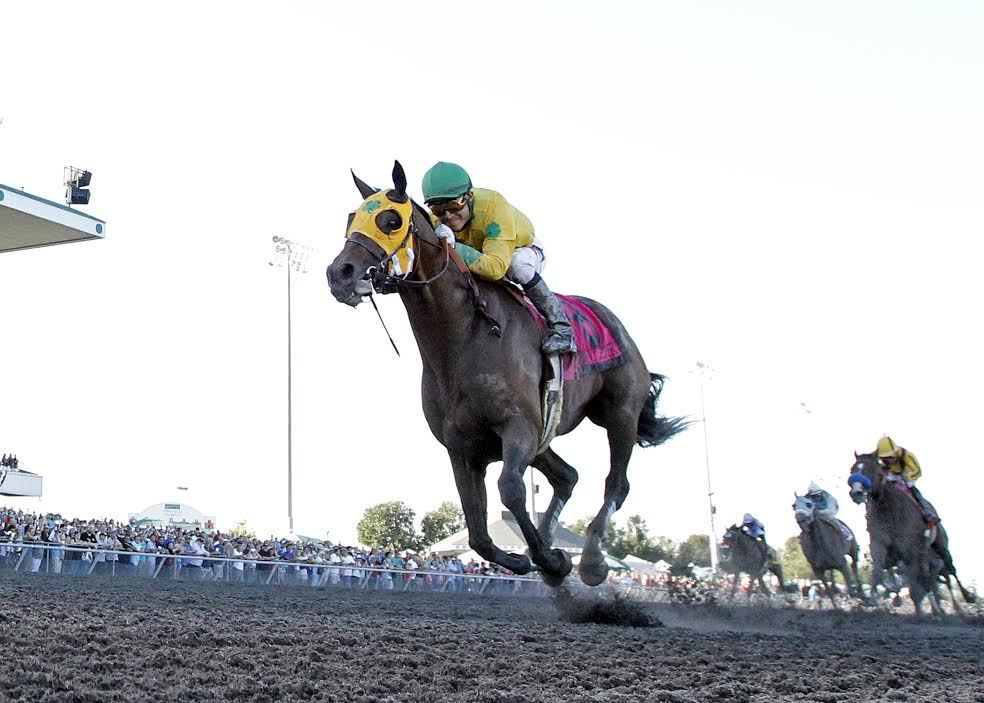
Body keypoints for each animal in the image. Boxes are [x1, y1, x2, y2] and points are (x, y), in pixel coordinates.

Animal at [322, 162, 684, 584]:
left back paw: (591, 560)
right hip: (545, 435)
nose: (340, 273)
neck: (463, 338)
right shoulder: (463, 447)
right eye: (351, 219)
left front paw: (549, 558)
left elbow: (510, 489)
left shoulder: (519, 426)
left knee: (616, 484)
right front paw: (535, 558)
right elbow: (477, 533)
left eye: (390, 220)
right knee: (567, 476)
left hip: (620, 413)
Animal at [844, 454, 976, 612]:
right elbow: (878, 571)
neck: (889, 508)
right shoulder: (880, 543)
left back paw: (964, 600)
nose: (856, 493)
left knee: (951, 570)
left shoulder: (913, 551)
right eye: (852, 470)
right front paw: (872, 599)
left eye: (871, 470)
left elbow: (917, 587)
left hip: (941, 547)